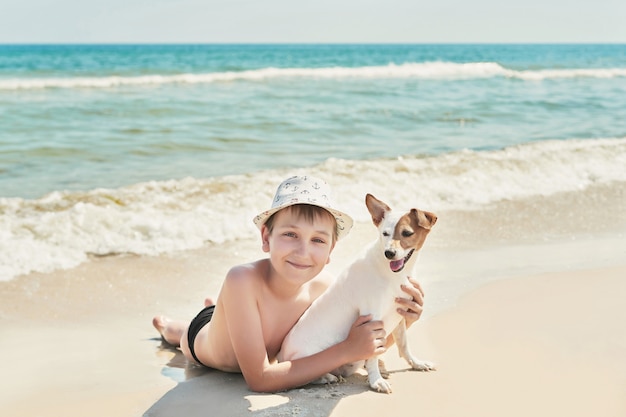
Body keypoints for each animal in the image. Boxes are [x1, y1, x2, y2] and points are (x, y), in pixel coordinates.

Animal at [278, 193, 434, 392]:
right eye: (384, 233)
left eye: (407, 233)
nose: (389, 253)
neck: (391, 273)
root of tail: (281, 356)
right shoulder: (373, 319)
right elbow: (373, 354)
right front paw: (376, 381)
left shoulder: (400, 313)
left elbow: (404, 345)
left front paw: (416, 363)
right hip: (306, 363)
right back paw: (327, 377)